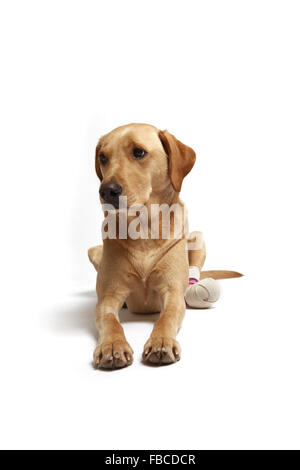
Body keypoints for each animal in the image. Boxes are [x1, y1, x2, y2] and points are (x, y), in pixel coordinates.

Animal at [87, 123, 241, 370]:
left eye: (139, 152)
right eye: (103, 157)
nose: (107, 190)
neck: (142, 229)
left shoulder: (172, 292)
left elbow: (166, 317)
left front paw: (161, 342)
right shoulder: (108, 297)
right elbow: (110, 320)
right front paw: (112, 345)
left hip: (197, 239)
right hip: (95, 251)